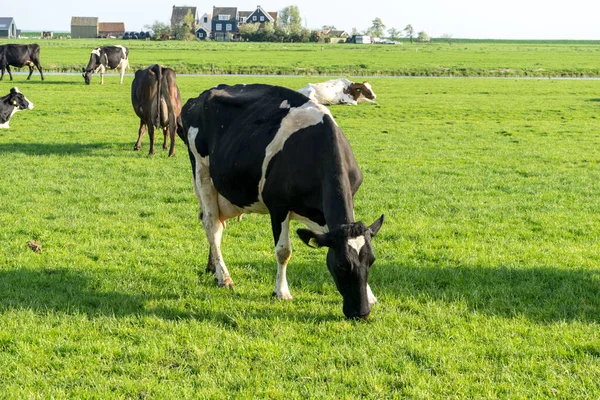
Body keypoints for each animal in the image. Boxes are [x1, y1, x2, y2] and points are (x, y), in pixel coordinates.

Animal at [180, 84, 384, 318]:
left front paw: (370, 295)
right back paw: (224, 277)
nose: (361, 313)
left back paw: (214, 270)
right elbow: (283, 251)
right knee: (212, 226)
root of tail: (203, 95)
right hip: (202, 173)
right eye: (342, 265)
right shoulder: (278, 206)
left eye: (371, 261)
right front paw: (282, 292)